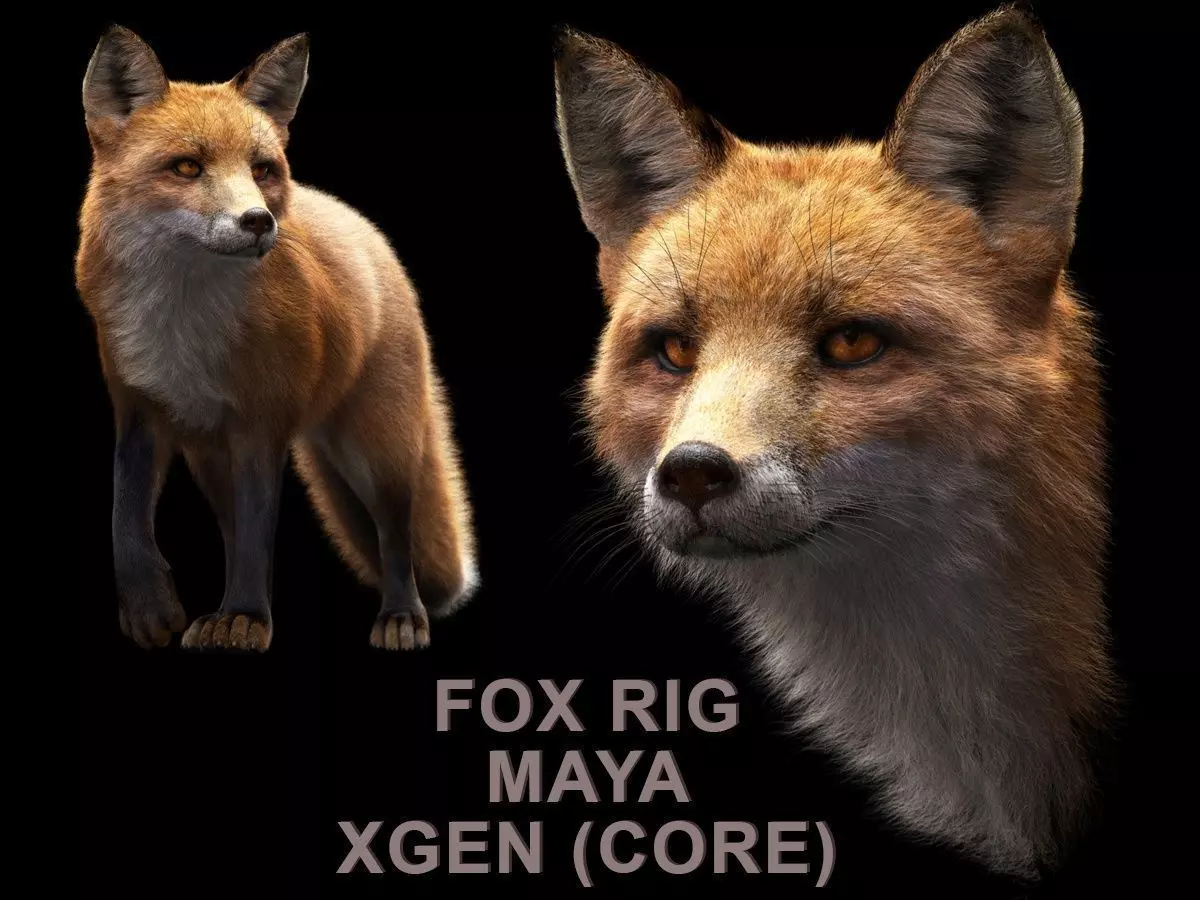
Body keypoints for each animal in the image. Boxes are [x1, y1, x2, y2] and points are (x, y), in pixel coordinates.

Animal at [77, 27, 478, 653]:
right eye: (187, 166)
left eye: (261, 168)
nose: (258, 220)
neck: (182, 332)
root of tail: (356, 222)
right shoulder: (138, 408)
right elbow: (125, 516)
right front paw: (150, 608)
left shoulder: (260, 427)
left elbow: (256, 539)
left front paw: (245, 618)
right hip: (211, 457)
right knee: (231, 526)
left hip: (378, 449)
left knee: (394, 534)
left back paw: (401, 616)